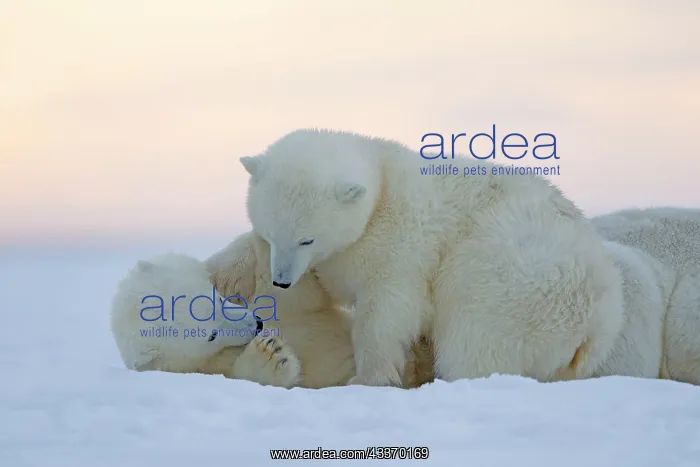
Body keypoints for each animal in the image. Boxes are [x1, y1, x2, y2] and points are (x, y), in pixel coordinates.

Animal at [238, 128, 626, 387]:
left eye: (307, 239)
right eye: (270, 234)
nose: (281, 280)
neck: (382, 183)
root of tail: (597, 324)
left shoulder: (402, 246)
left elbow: (387, 311)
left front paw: (367, 378)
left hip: (513, 278)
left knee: (475, 332)